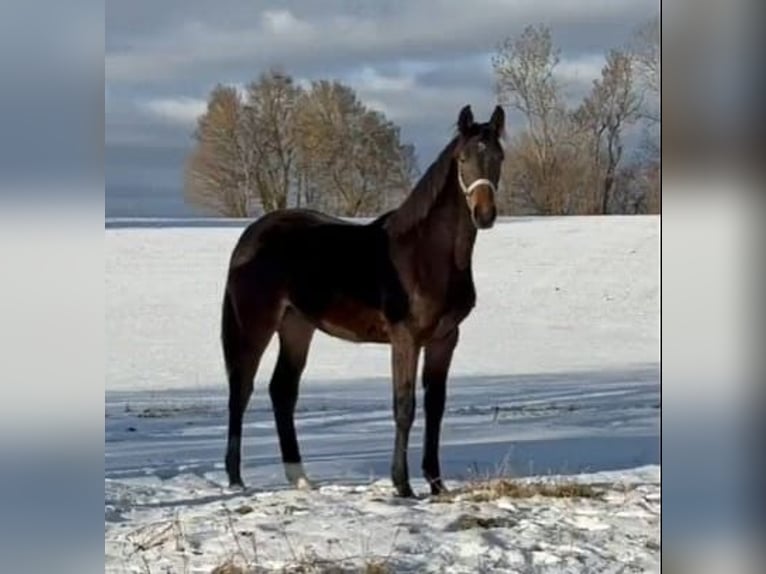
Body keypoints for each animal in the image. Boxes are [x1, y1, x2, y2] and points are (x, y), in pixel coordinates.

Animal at [221, 104, 505, 497]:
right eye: (463, 159)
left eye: (498, 157)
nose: (484, 214)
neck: (425, 254)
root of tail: (250, 237)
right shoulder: (405, 338)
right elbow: (405, 406)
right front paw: (402, 485)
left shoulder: (445, 339)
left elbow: (435, 407)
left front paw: (436, 484)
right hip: (255, 325)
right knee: (241, 390)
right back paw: (236, 479)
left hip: (297, 326)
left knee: (282, 391)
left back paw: (300, 478)